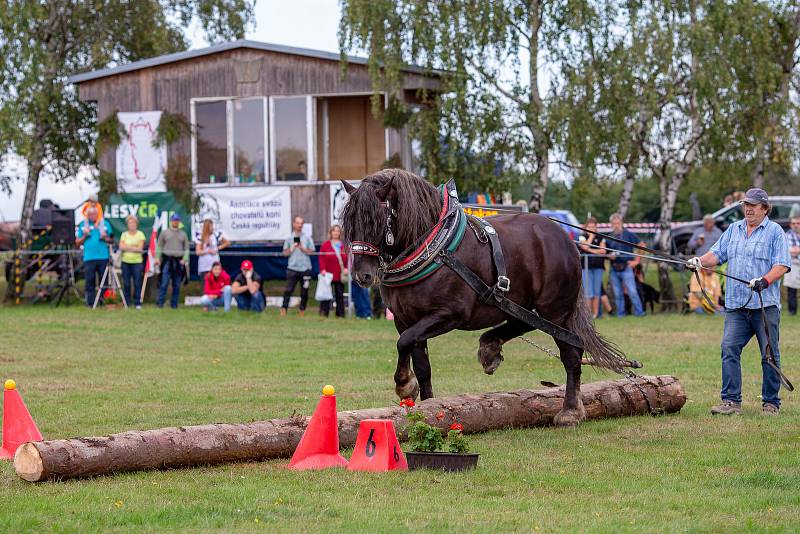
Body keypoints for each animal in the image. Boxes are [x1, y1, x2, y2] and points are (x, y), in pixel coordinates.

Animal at [340, 170, 628, 430]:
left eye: (376, 221)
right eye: (350, 222)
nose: (362, 275)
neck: (435, 250)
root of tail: (566, 240)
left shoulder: (449, 314)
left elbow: (404, 343)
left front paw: (403, 384)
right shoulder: (406, 319)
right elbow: (420, 362)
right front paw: (428, 406)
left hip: (555, 310)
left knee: (571, 353)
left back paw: (570, 411)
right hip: (529, 305)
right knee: (525, 323)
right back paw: (490, 347)